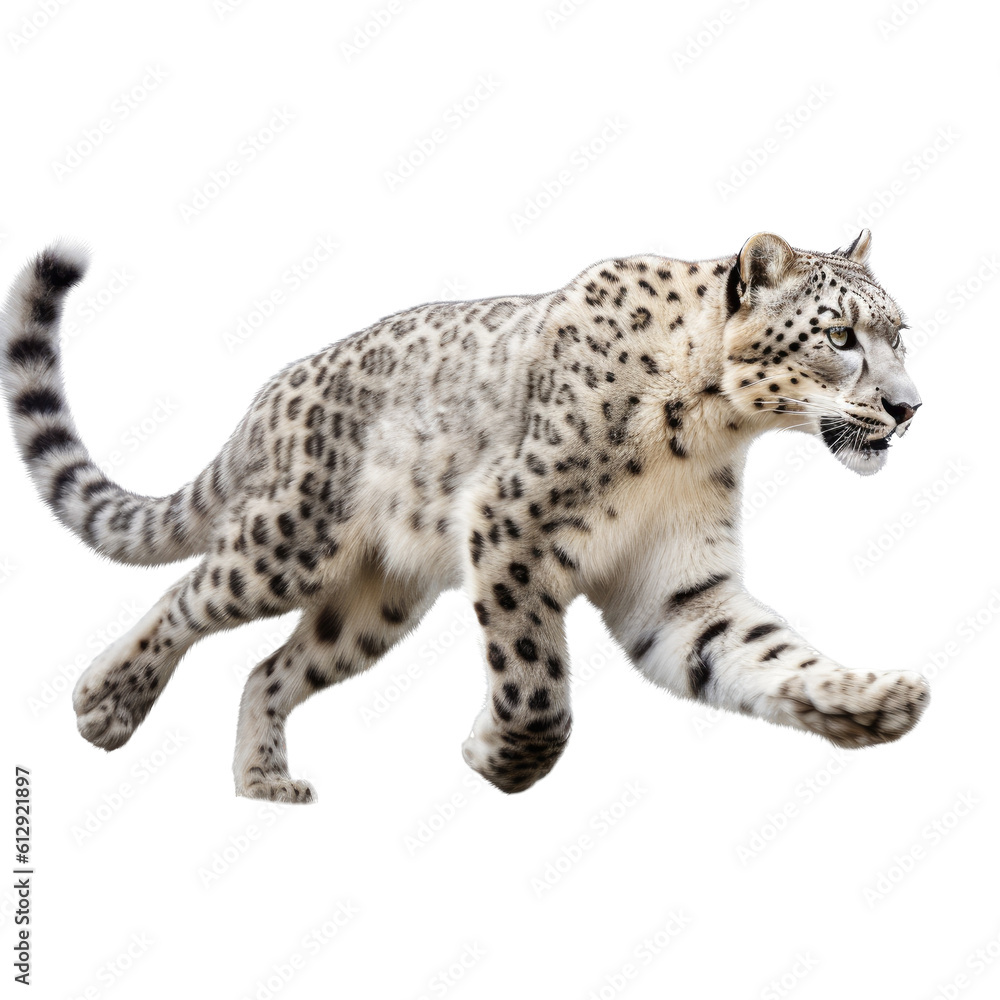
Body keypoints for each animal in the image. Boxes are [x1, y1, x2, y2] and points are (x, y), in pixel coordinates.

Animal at [0, 230, 929, 802]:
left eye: (901, 333)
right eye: (840, 336)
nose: (909, 406)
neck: (706, 433)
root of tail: (270, 396)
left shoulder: (677, 584)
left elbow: (763, 653)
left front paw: (874, 703)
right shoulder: (511, 525)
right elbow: (536, 682)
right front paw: (498, 755)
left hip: (371, 605)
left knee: (268, 668)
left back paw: (263, 780)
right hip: (287, 540)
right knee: (186, 595)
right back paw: (104, 701)